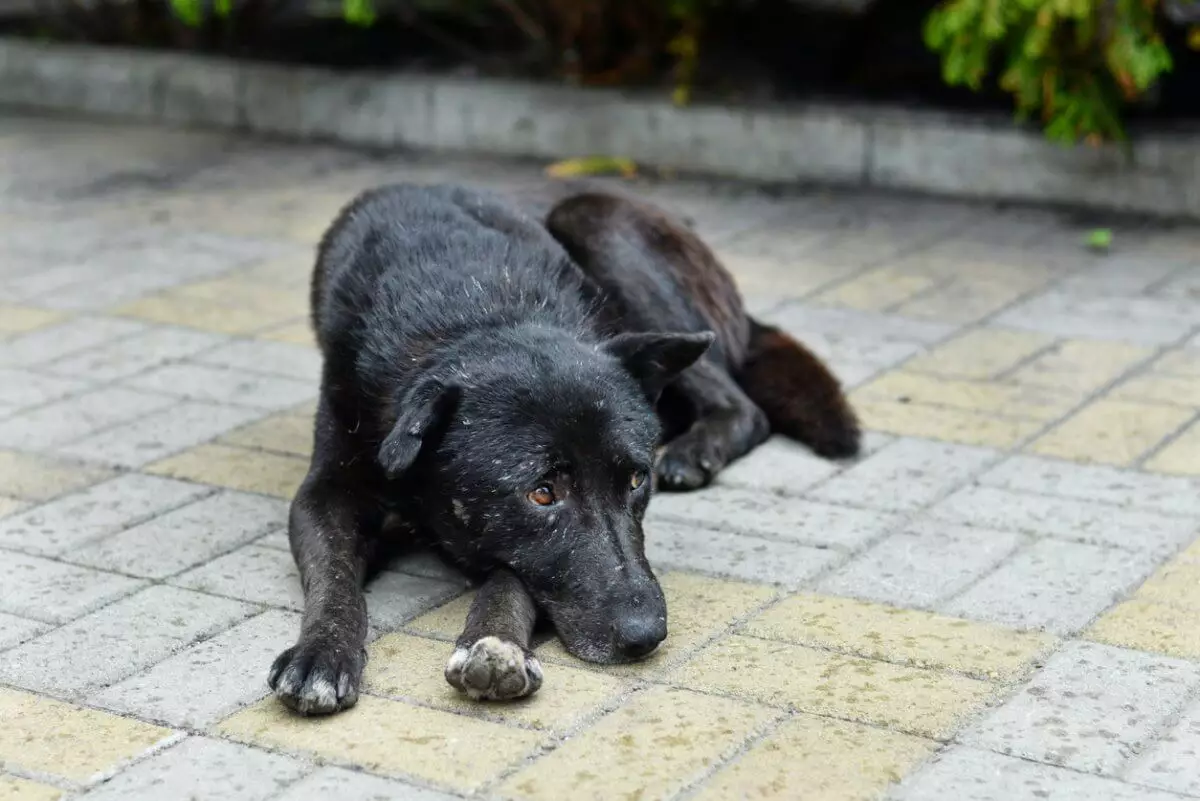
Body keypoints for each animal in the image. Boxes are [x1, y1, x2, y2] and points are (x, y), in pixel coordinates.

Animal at [267, 183, 859, 714]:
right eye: (543, 493)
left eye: (636, 480)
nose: (647, 635)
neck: (477, 307)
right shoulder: (325, 492)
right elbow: (334, 577)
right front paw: (322, 653)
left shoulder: (516, 551)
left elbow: (512, 578)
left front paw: (496, 644)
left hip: (598, 223)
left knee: (745, 407)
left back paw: (695, 450)